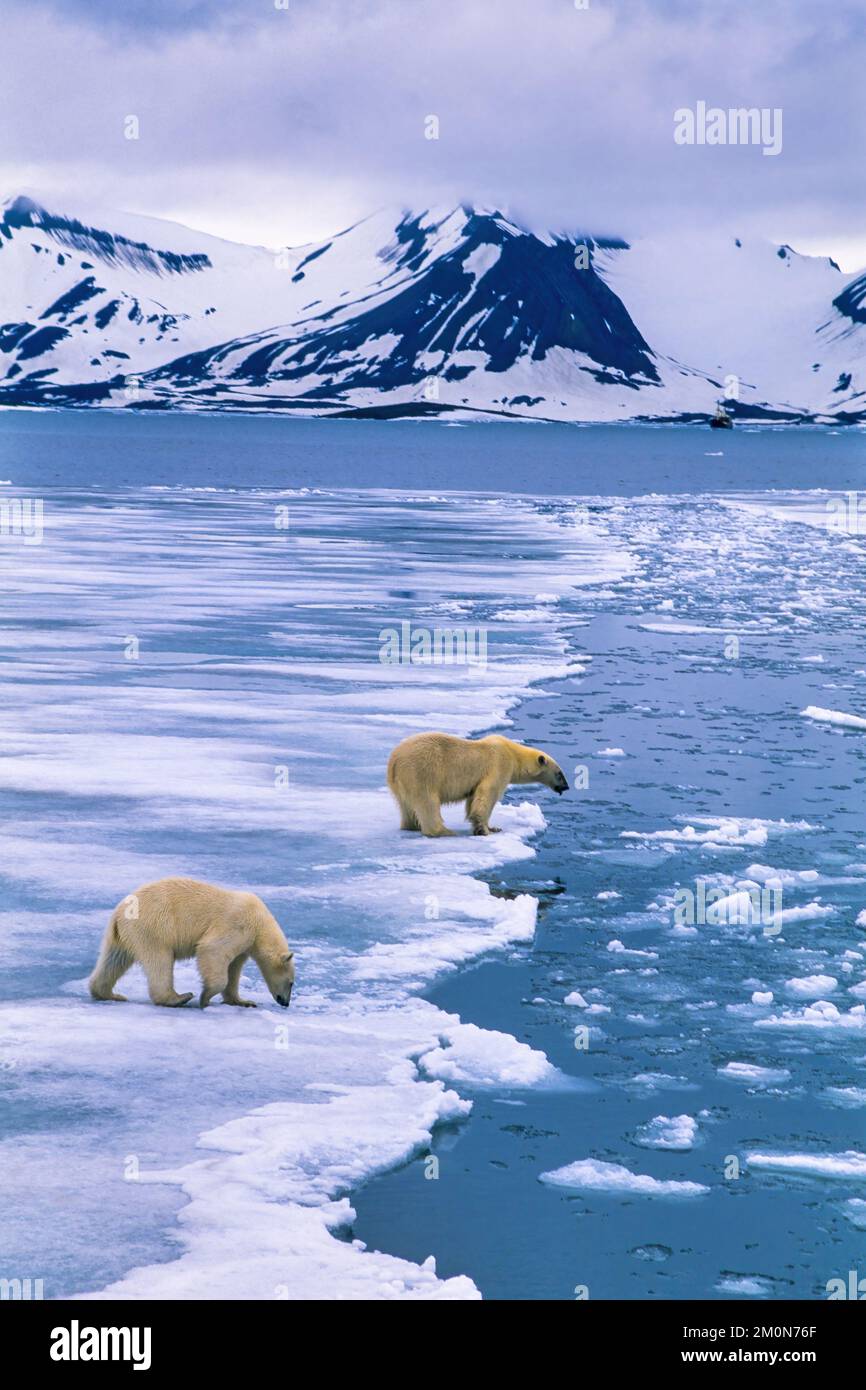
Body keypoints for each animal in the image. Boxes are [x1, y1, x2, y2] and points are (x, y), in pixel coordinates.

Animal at [88, 878, 296, 1011]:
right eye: (292, 983)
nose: (285, 1003)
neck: (261, 923)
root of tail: (119, 913)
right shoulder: (238, 924)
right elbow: (213, 950)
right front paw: (205, 998)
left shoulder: (245, 943)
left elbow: (233, 968)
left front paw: (243, 1001)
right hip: (154, 926)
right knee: (159, 960)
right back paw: (179, 998)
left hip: (121, 936)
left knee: (113, 960)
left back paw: (108, 994)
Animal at [389, 728, 569, 834]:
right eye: (559, 773)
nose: (566, 787)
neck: (513, 754)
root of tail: (394, 760)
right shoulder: (499, 764)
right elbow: (487, 795)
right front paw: (485, 829)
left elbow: (473, 798)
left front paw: (493, 827)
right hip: (422, 771)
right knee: (428, 801)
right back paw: (443, 831)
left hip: (401, 782)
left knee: (406, 806)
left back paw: (411, 826)